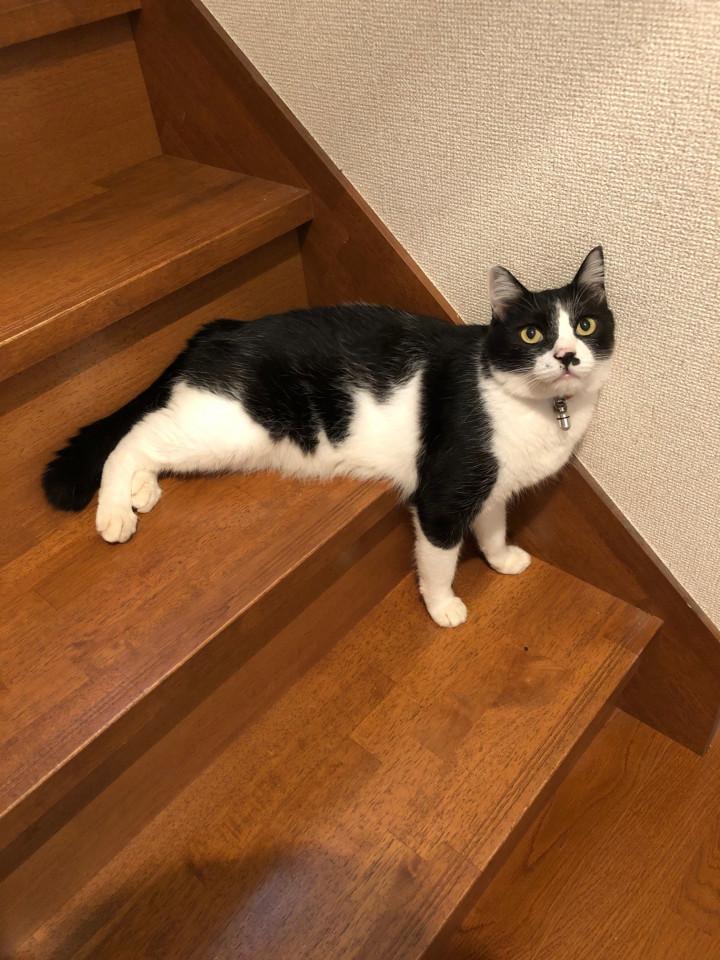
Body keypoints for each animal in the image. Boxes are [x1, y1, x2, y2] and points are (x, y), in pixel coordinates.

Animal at [43, 246, 614, 628]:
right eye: (532, 334)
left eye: (585, 326)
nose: (567, 356)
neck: (545, 412)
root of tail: (220, 327)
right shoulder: (444, 493)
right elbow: (438, 557)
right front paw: (443, 606)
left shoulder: (492, 486)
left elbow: (493, 527)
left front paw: (502, 559)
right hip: (230, 424)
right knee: (135, 434)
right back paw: (115, 511)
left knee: (154, 433)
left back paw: (142, 491)